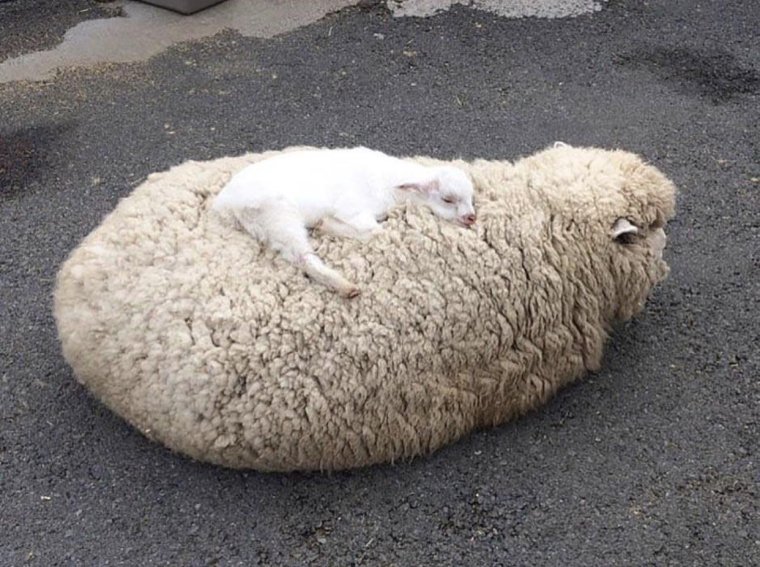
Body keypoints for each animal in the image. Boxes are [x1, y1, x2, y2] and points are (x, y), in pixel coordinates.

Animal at [54, 144, 677, 471]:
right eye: (653, 228)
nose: (471, 218)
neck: (541, 218)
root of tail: (74, 273)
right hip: (279, 219)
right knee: (304, 251)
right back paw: (343, 277)